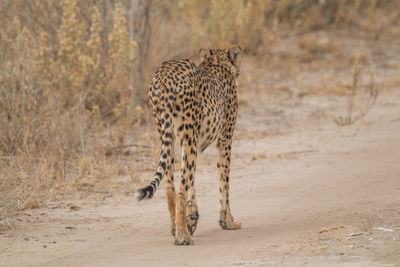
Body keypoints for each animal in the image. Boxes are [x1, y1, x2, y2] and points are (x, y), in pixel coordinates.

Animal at [136, 45, 242, 246]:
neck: (216, 62)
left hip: (168, 136)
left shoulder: (192, 140)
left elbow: (193, 183)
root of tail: (165, 73)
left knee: (171, 188)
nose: (239, 69)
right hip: (189, 136)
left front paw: (192, 218)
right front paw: (228, 221)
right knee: (180, 190)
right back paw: (182, 236)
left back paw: (175, 228)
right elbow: (224, 183)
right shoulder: (224, 139)